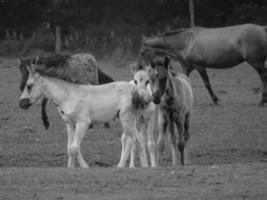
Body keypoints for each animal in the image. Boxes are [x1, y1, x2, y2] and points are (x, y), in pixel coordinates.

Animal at [19, 64, 155, 167]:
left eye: (29, 85)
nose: (21, 103)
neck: (69, 96)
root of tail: (136, 90)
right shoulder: (70, 125)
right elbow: (69, 148)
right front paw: (71, 167)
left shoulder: (83, 123)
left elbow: (75, 147)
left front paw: (85, 167)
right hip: (132, 120)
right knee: (139, 140)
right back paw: (144, 166)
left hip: (126, 119)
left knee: (130, 140)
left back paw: (120, 166)